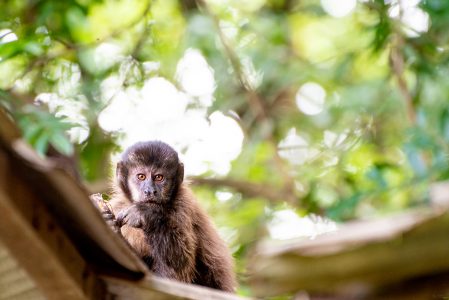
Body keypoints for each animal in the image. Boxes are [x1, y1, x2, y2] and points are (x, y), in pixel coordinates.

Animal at [103, 141, 236, 292]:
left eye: (159, 177)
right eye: (141, 176)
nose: (150, 191)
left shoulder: (182, 205)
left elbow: (180, 267)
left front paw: (145, 216)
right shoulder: (118, 205)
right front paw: (109, 223)